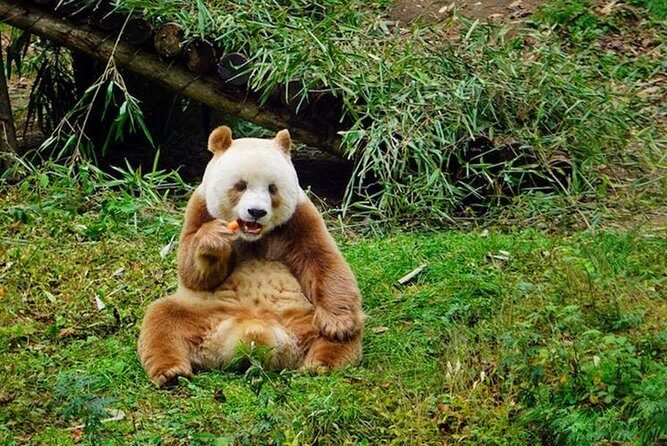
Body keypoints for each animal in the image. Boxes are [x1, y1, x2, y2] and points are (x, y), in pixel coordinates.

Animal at [138, 126, 364, 386]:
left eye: (272, 188)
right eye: (240, 185)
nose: (256, 212)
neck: (253, 236)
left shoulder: (300, 216)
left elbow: (323, 259)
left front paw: (338, 324)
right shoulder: (200, 208)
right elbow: (191, 273)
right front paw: (213, 240)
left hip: (303, 315)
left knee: (344, 332)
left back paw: (321, 364)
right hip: (203, 313)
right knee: (162, 319)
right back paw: (171, 372)